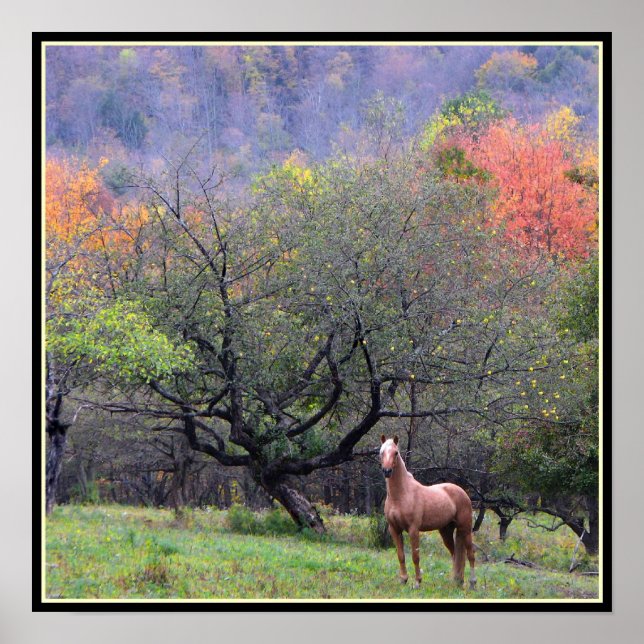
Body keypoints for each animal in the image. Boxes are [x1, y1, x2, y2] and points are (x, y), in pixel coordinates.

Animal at [379, 434, 476, 589]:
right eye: (381, 452)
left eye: (396, 453)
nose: (387, 471)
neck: (401, 495)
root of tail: (462, 492)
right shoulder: (394, 529)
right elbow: (401, 555)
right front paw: (403, 580)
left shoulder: (413, 529)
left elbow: (415, 556)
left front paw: (417, 582)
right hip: (446, 531)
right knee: (455, 555)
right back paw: (456, 581)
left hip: (465, 528)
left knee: (470, 554)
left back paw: (472, 583)